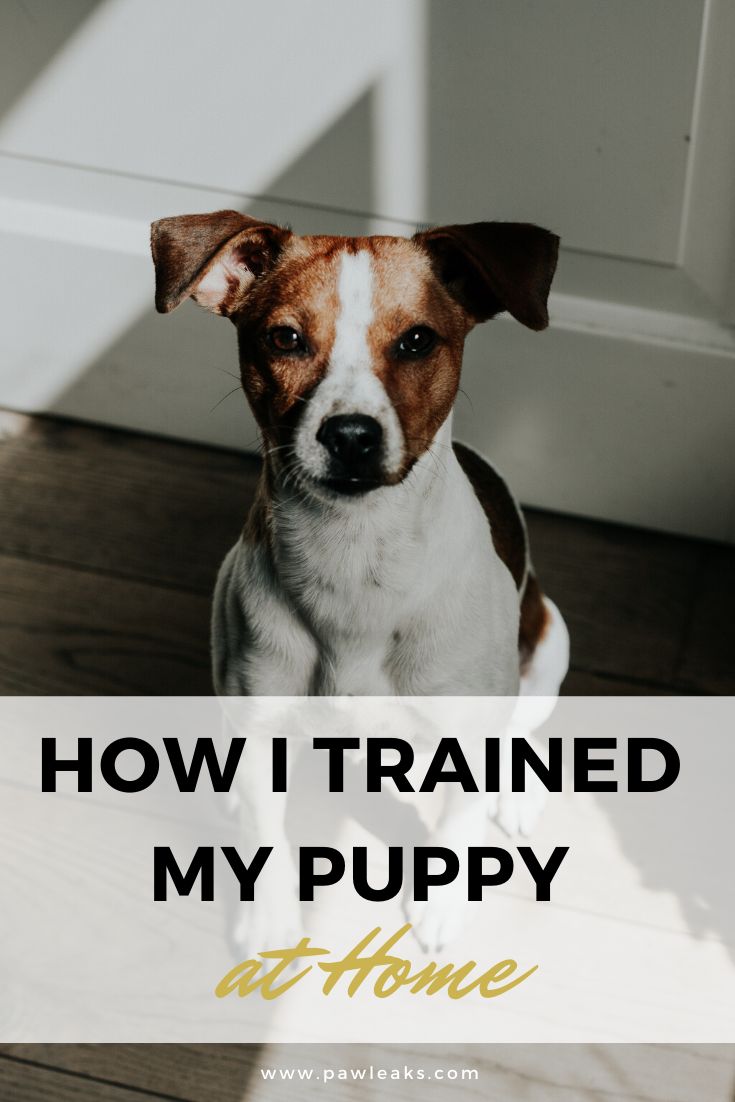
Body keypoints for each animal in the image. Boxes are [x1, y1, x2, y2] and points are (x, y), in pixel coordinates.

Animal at [152, 210, 573, 952]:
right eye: (285, 338)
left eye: (416, 340)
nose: (349, 434)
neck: (354, 558)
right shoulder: (260, 715)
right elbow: (265, 828)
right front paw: (270, 922)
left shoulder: (472, 730)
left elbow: (459, 820)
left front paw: (439, 904)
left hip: (550, 644)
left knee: (523, 731)